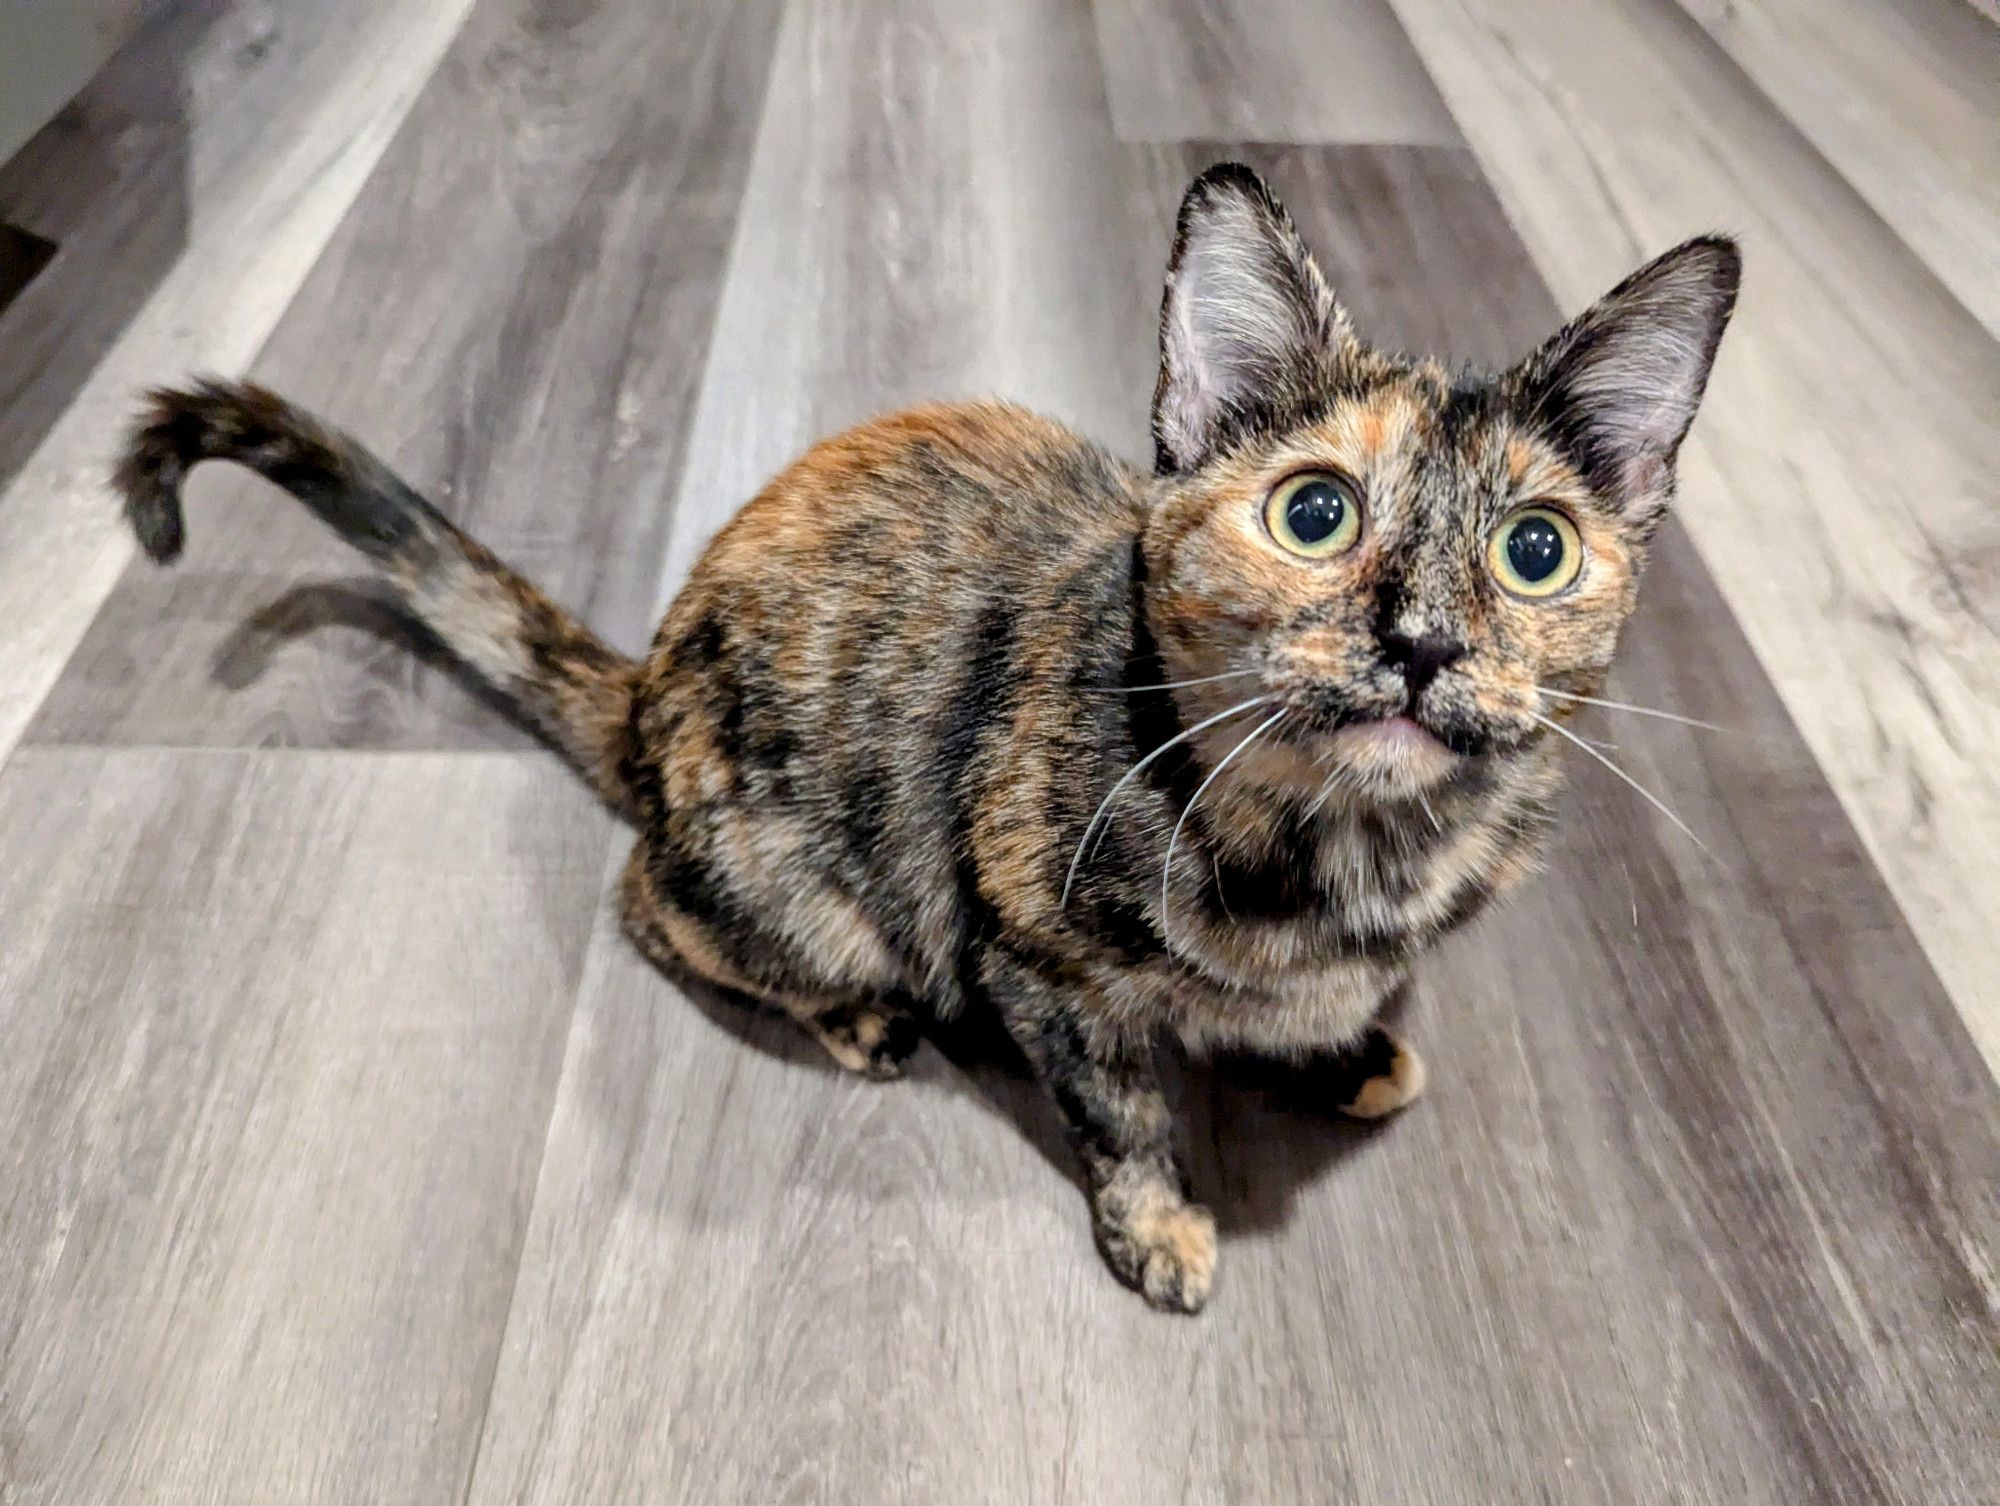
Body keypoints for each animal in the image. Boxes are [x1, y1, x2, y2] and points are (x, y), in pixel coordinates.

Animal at [113, 164, 1736, 1312]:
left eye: (1535, 551)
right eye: (1314, 512)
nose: (1422, 640)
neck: (1347, 848)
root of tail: (647, 687)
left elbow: (1309, 1012)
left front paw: (1346, 1050)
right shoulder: (1037, 962)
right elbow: (1125, 1108)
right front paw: (1161, 1229)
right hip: (796, 884)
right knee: (646, 905)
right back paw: (852, 1017)